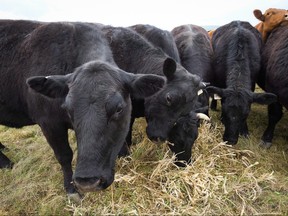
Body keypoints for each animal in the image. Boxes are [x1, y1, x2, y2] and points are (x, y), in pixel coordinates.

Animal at [0, 19, 164, 197]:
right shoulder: (48, 123)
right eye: (68, 109)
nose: (88, 181)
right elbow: (64, 155)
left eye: (119, 108)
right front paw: (71, 187)